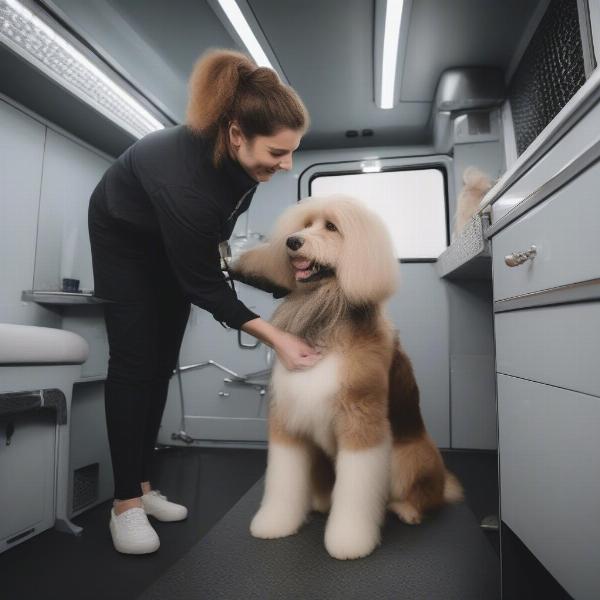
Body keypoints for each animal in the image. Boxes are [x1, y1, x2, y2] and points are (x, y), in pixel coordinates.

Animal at [232, 195, 462, 560]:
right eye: (305, 224)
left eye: (331, 227)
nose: (292, 241)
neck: (325, 313)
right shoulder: (287, 419)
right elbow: (283, 479)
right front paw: (275, 523)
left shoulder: (361, 421)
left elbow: (356, 491)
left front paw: (349, 541)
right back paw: (319, 502)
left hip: (407, 459)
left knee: (426, 497)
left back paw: (407, 510)